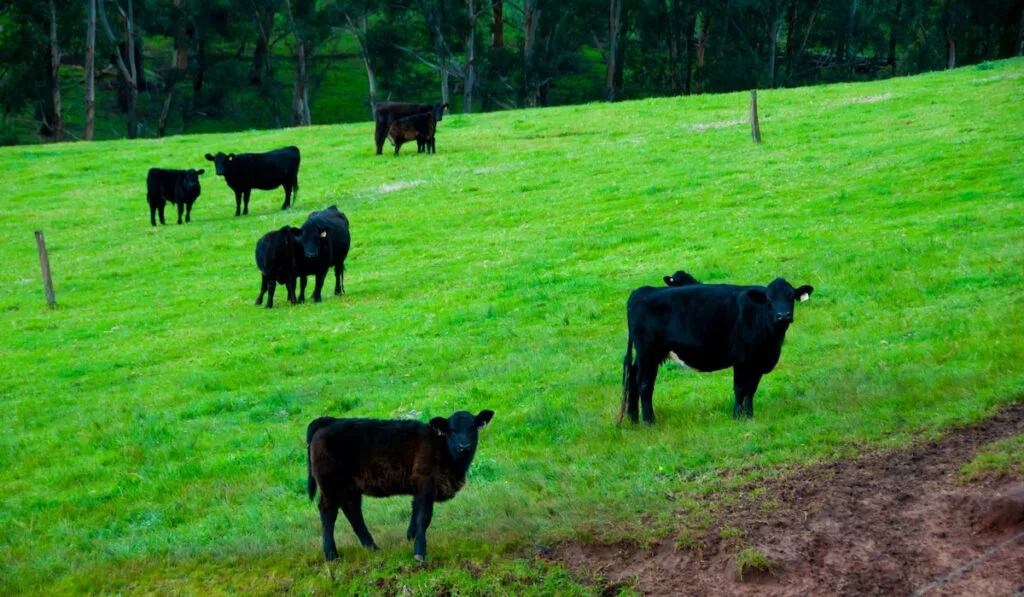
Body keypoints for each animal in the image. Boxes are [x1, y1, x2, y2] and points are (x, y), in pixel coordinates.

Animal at [303, 409, 495, 561]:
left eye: (473, 427)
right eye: (452, 430)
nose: (464, 446)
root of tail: (330, 420)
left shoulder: (419, 488)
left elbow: (415, 512)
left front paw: (411, 538)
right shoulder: (426, 483)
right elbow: (424, 516)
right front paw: (420, 551)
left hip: (349, 486)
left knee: (352, 511)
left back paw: (372, 548)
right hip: (330, 484)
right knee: (328, 512)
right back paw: (331, 555)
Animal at [614, 276, 815, 421]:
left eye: (791, 297)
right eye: (769, 298)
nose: (783, 315)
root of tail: (642, 291)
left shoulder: (757, 362)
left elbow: (751, 390)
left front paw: (750, 415)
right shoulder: (741, 360)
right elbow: (740, 389)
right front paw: (737, 416)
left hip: (645, 355)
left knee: (633, 377)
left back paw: (633, 419)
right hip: (648, 353)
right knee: (645, 384)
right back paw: (649, 421)